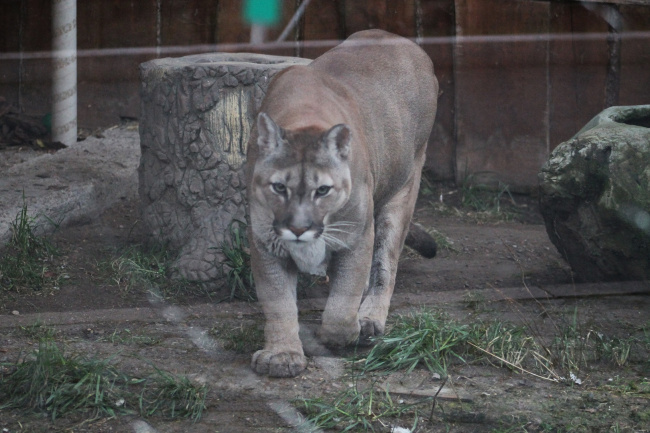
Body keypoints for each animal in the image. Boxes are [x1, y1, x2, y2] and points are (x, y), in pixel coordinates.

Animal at [246, 29, 438, 374]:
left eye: (323, 190)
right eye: (279, 187)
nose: (298, 229)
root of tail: (400, 39)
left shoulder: (356, 234)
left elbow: (344, 296)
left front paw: (344, 332)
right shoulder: (266, 241)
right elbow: (278, 301)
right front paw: (282, 355)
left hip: (404, 186)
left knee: (385, 265)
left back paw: (369, 320)